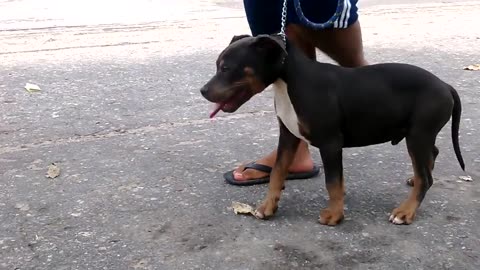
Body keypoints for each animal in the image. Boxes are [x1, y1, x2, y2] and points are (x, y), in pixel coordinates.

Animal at [200, 34, 464, 226]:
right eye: (217, 66)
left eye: (226, 68)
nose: (202, 91)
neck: (288, 80)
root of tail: (445, 85)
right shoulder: (288, 137)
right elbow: (277, 172)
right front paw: (267, 207)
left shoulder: (330, 143)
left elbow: (333, 182)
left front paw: (335, 216)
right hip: (419, 134)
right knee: (431, 158)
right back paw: (413, 181)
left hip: (418, 136)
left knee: (425, 178)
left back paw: (405, 211)